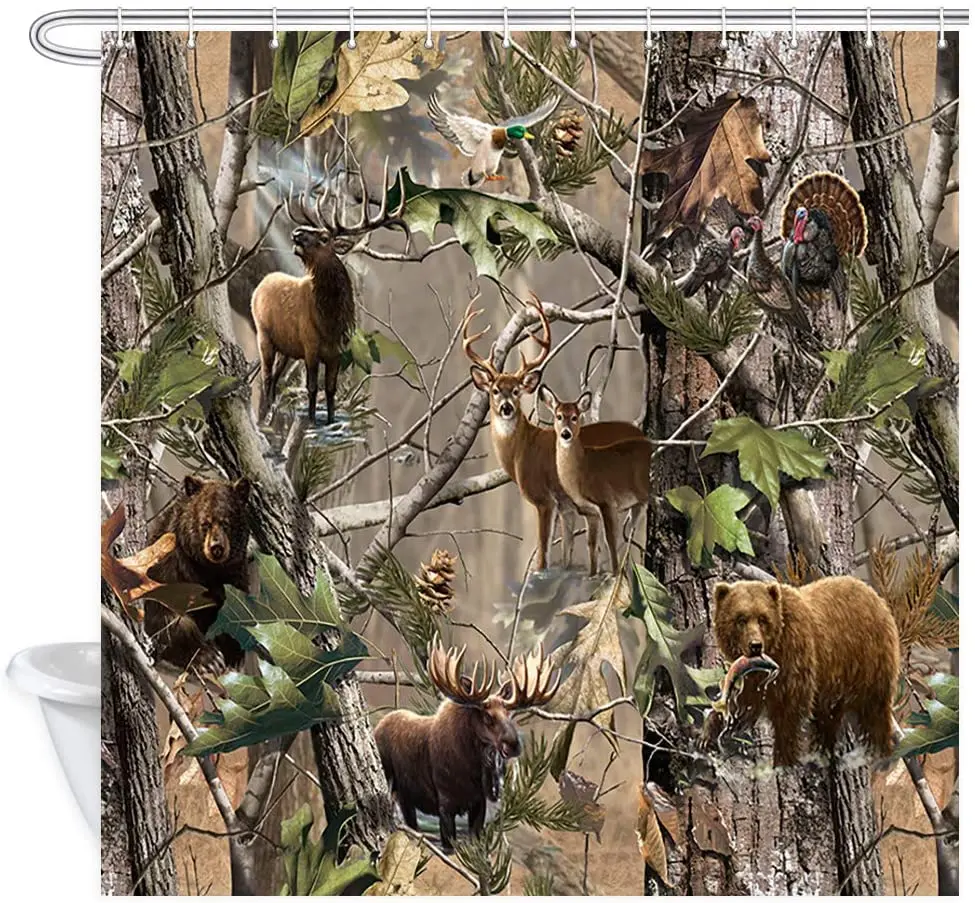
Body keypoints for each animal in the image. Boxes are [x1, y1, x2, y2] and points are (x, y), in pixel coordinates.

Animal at [144, 475, 252, 674]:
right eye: (205, 523)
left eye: (227, 523)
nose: (216, 548)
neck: (208, 569)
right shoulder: (171, 567)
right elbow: (166, 615)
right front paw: (209, 658)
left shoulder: (235, 574)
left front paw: (232, 653)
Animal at [250, 162, 407, 425]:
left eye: (324, 238)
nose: (296, 233)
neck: (330, 320)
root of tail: (261, 284)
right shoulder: (310, 344)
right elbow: (313, 387)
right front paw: (313, 421)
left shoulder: (336, 352)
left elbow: (331, 389)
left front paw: (331, 420)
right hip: (264, 335)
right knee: (265, 378)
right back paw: (262, 419)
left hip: (287, 347)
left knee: (275, 380)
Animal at [373, 638, 560, 851]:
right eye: (487, 716)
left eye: (509, 714)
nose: (514, 745)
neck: (471, 767)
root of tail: (377, 727)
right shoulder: (445, 803)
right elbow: (449, 845)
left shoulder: (478, 802)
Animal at [539, 388, 653, 575]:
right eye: (558, 416)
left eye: (575, 417)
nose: (565, 434)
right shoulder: (589, 512)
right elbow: (592, 544)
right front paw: (593, 574)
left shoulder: (607, 501)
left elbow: (610, 540)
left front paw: (614, 574)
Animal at [709, 576, 900, 767]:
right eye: (740, 619)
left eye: (763, 619)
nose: (755, 645)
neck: (776, 648)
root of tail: (876, 596)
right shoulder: (748, 677)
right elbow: (742, 704)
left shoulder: (795, 656)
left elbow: (790, 711)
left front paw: (784, 759)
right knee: (829, 717)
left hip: (868, 660)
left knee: (874, 710)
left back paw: (879, 752)